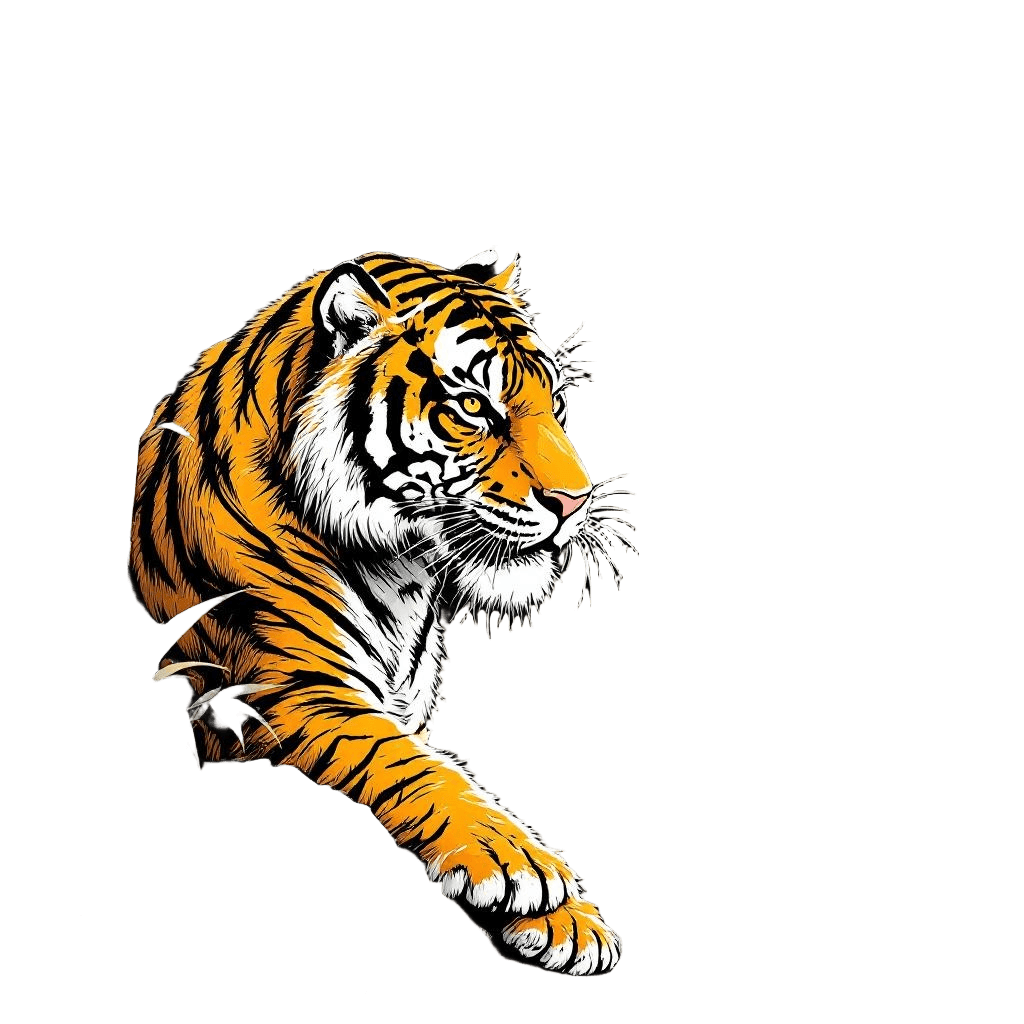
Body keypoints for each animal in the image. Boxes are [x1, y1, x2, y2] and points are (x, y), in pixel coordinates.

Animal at [128, 248, 637, 976]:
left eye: (558, 404)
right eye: (473, 406)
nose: (576, 501)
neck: (405, 572)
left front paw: (570, 924)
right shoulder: (292, 691)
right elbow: (414, 765)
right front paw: (518, 863)